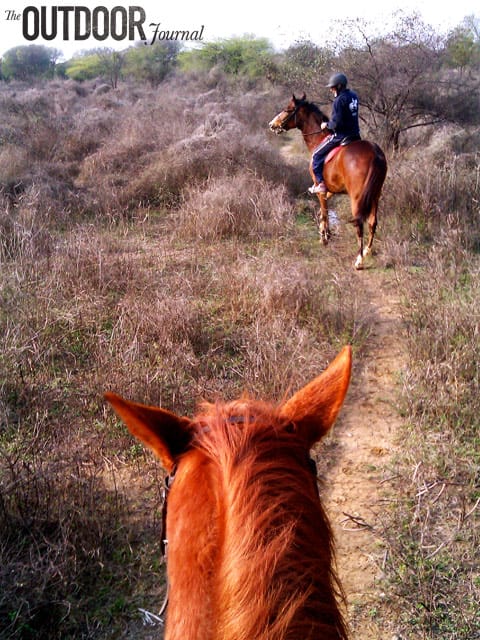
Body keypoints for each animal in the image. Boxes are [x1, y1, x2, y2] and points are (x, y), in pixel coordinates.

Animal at [270, 92, 386, 268]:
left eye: (288, 109)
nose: (272, 125)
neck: (319, 138)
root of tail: (374, 153)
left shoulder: (320, 188)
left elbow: (324, 212)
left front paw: (325, 237)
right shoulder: (331, 190)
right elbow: (322, 211)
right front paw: (324, 233)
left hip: (357, 197)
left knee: (359, 223)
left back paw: (359, 260)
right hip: (375, 195)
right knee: (373, 222)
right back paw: (367, 251)